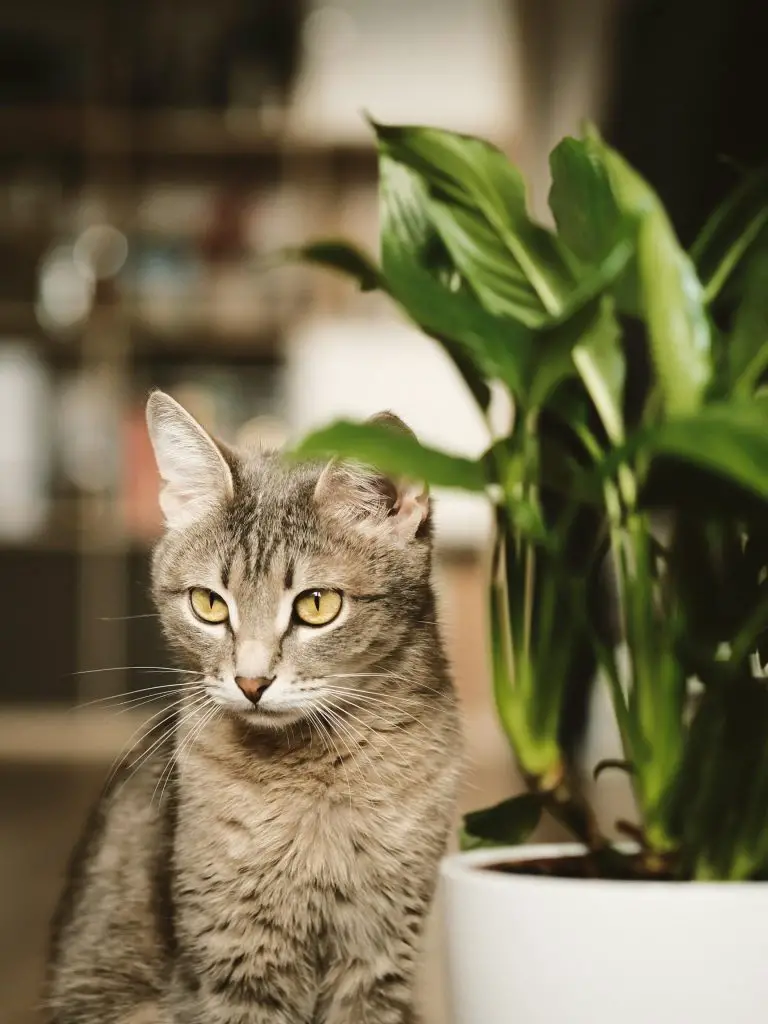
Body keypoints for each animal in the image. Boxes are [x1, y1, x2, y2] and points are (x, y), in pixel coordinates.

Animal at [45, 391, 460, 1024]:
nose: (251, 681)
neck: (314, 785)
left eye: (317, 605)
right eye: (208, 604)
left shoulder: (380, 951)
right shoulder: (237, 958)